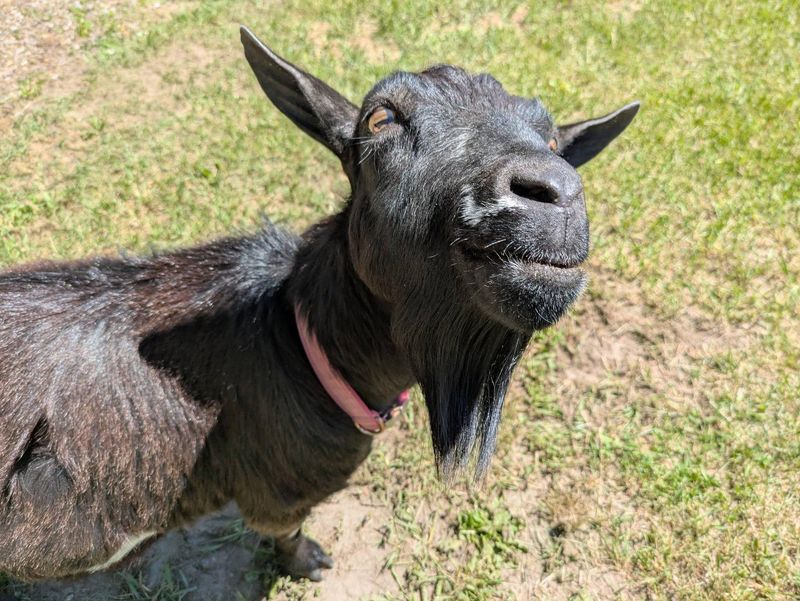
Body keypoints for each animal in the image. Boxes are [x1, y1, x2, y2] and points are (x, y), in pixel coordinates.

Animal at [0, 26, 638, 584]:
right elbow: (283, 529)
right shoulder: (277, 493)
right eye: (381, 117)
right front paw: (307, 562)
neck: (297, 341)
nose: (552, 191)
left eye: (554, 141)